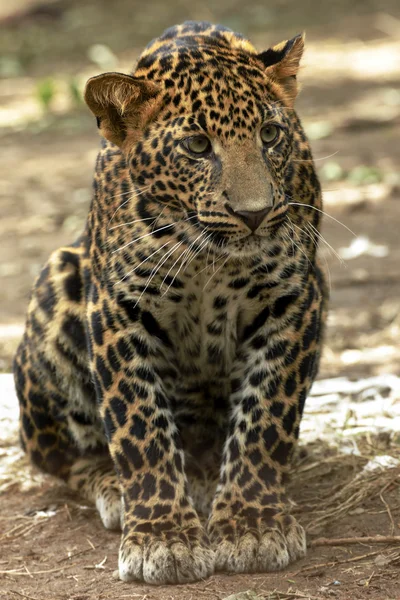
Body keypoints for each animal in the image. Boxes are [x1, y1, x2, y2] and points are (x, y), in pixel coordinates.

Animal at [14, 21, 328, 584]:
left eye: (270, 135)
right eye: (197, 146)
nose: (255, 214)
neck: (208, 254)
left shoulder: (293, 300)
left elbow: (266, 417)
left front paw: (252, 525)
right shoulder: (118, 310)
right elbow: (138, 426)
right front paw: (163, 537)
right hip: (58, 279)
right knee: (64, 456)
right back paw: (116, 489)